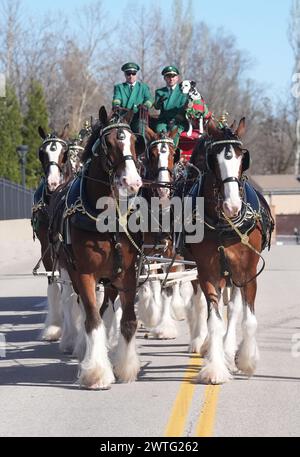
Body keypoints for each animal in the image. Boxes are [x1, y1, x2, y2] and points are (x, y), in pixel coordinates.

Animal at [186, 116, 274, 382]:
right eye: (213, 160)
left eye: (242, 158)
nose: (232, 206)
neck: (224, 224)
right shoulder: (208, 272)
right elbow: (214, 321)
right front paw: (215, 368)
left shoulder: (248, 272)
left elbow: (248, 319)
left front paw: (245, 360)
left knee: (235, 309)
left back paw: (229, 349)